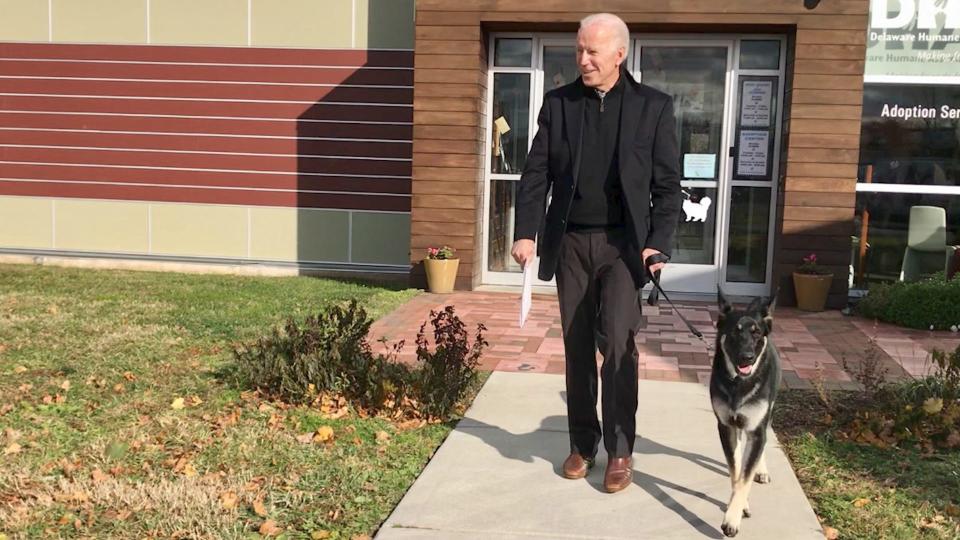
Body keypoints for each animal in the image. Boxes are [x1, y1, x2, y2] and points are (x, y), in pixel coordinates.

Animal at [708, 292, 784, 536]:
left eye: (756, 333)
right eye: (734, 331)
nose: (747, 357)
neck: (738, 384)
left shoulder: (756, 428)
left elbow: (745, 477)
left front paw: (732, 518)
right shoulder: (726, 427)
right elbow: (736, 473)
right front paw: (739, 505)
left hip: (767, 414)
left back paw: (761, 469)